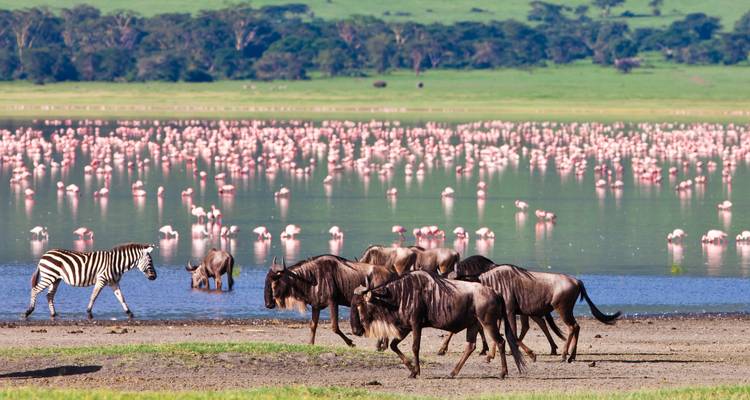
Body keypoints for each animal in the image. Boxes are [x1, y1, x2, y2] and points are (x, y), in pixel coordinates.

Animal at [23, 243, 157, 320]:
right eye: (150, 262)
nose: (155, 277)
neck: (116, 263)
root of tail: (44, 255)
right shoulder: (102, 279)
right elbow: (94, 296)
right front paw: (89, 313)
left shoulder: (113, 282)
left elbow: (121, 298)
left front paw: (130, 313)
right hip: (48, 276)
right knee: (35, 290)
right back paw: (28, 312)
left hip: (55, 279)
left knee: (49, 295)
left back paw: (53, 314)